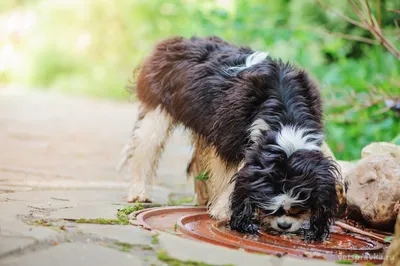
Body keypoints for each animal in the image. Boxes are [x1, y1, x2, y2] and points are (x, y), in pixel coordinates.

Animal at [117, 35, 346, 241]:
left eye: (299, 209)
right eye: (271, 209)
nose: (284, 225)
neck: (284, 113)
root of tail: (176, 41)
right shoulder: (228, 138)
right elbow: (228, 173)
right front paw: (224, 210)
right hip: (158, 110)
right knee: (146, 148)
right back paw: (139, 192)